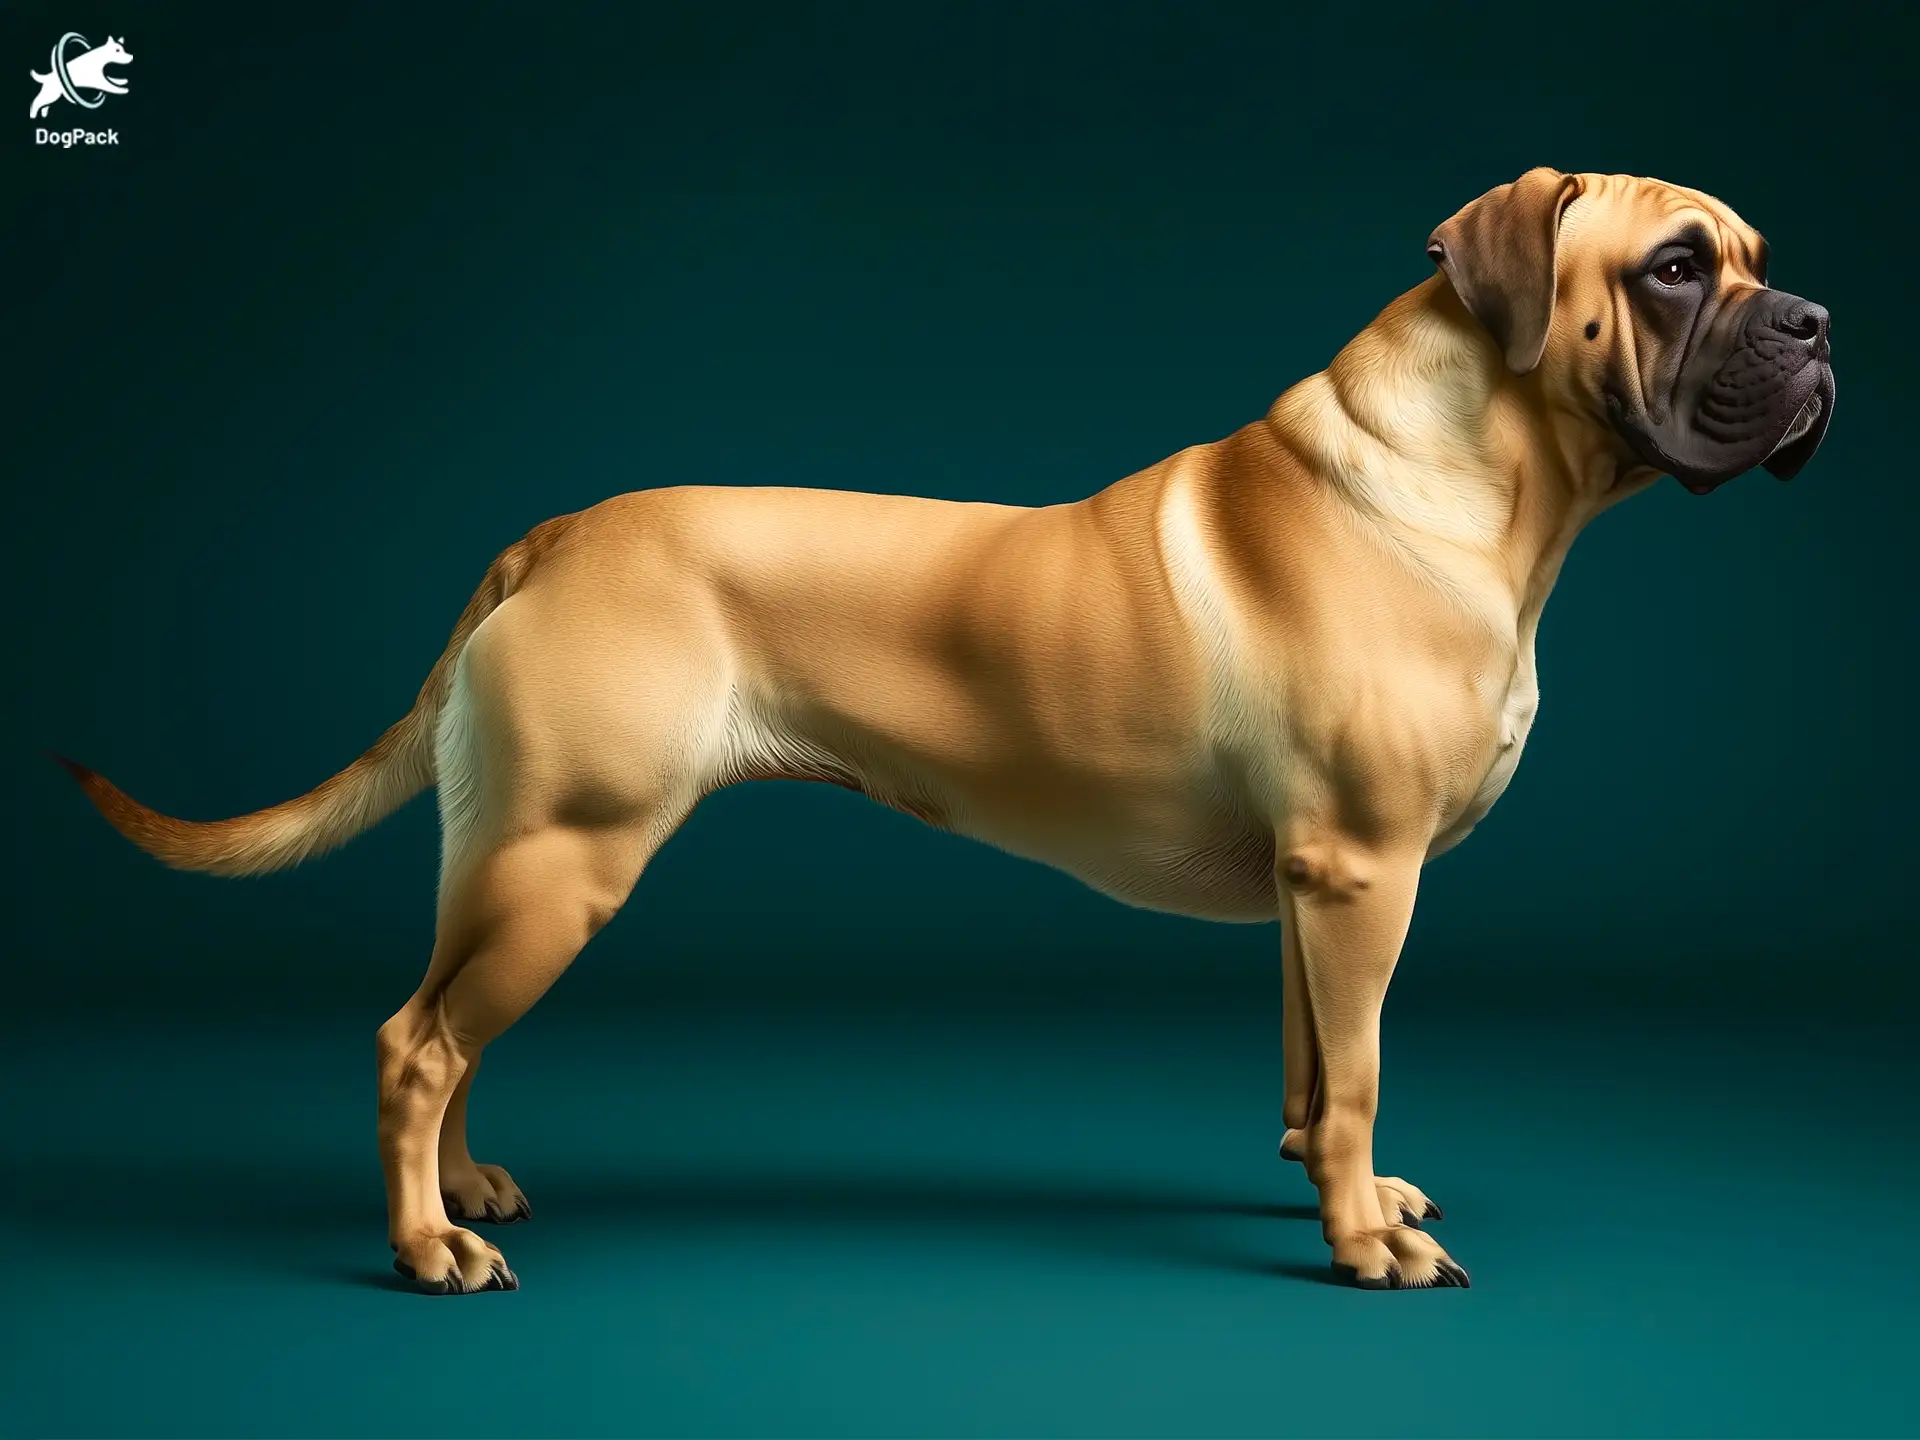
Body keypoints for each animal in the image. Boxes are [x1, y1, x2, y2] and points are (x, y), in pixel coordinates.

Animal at [52, 168, 1835, 1297]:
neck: (1482, 471)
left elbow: (1323, 1070)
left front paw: (1354, 1188)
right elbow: (1364, 1067)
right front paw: (1364, 1245)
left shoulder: (1316, 895)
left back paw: (468, 1190)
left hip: (503, 859)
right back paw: (429, 1250)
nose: (1817, 324)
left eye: (1755, 254)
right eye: (1677, 267)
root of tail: (551, 535)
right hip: (566, 859)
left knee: (445, 1029)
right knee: (415, 1045)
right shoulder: (1363, 874)